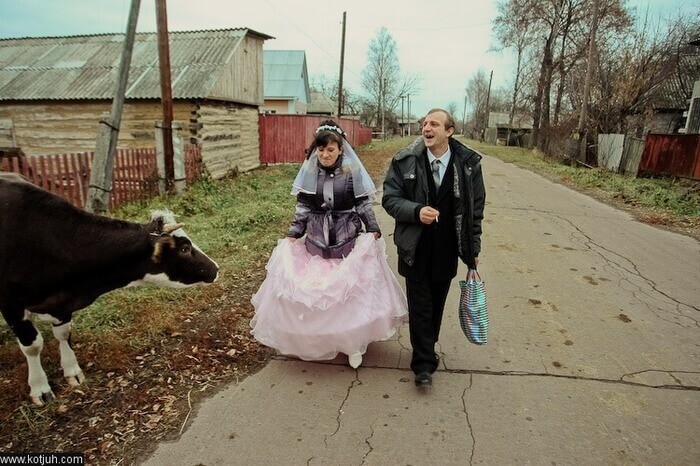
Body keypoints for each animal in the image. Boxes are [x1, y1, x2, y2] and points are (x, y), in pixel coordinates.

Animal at [0, 173, 219, 406]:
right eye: (185, 248)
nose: (216, 268)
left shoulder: (63, 300)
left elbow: (63, 333)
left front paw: (72, 371)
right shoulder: (10, 304)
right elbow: (32, 346)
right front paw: (40, 388)